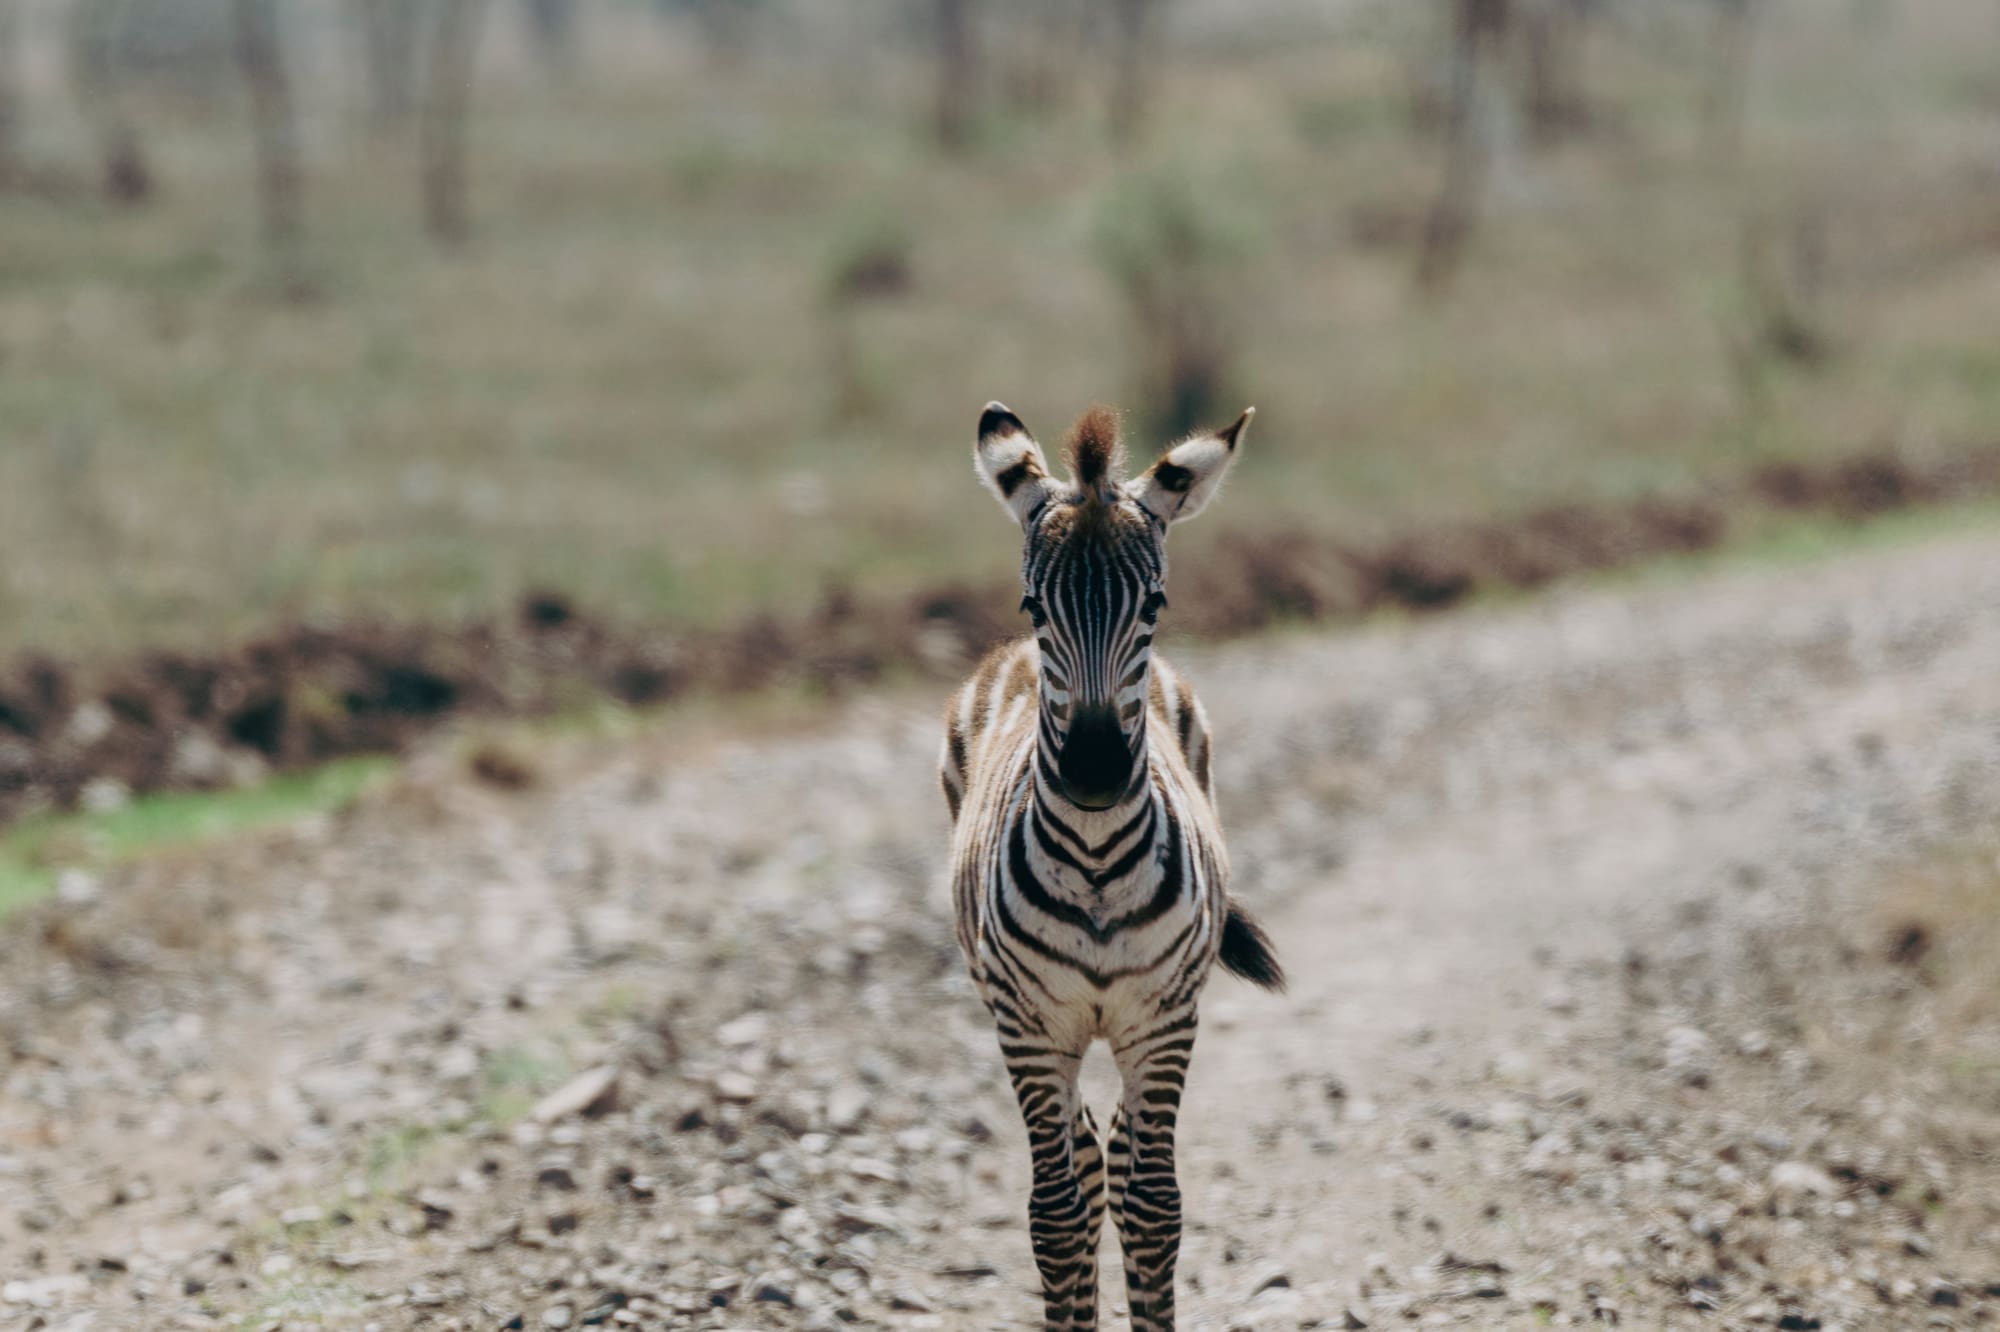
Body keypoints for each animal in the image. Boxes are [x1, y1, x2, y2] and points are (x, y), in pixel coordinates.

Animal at [940, 401, 1285, 1331]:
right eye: (1034, 602)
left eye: (1155, 603)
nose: (1093, 771)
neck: (1094, 859)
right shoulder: (1029, 1028)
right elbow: (1056, 1215)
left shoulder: (1163, 1021)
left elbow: (1156, 1207)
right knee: (1089, 1165)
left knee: (1121, 1161)